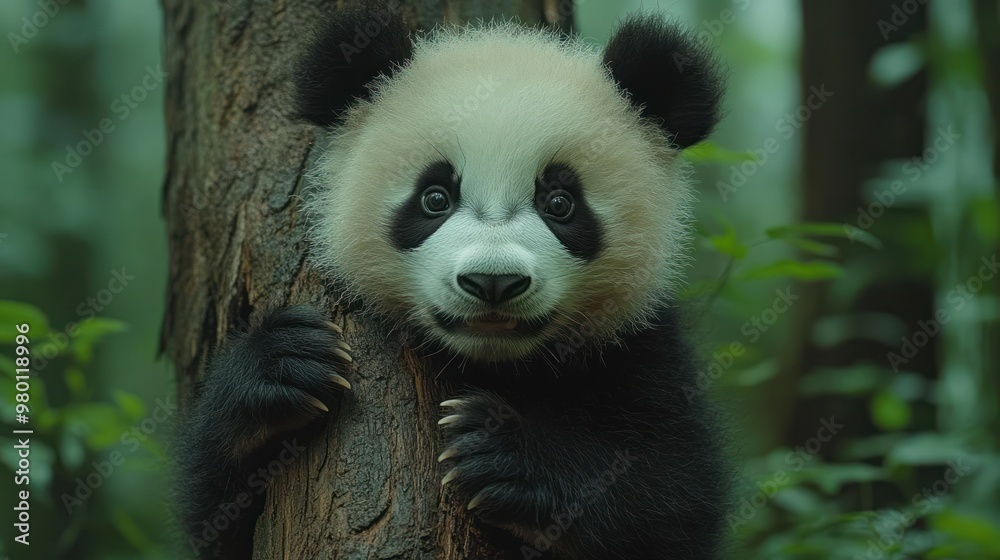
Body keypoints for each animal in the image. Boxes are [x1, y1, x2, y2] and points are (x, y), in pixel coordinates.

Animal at [177, 4, 729, 560]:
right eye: (435, 197)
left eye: (560, 203)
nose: (493, 282)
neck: (495, 363)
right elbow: (219, 520)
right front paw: (283, 363)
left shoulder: (640, 347)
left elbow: (670, 498)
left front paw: (503, 455)